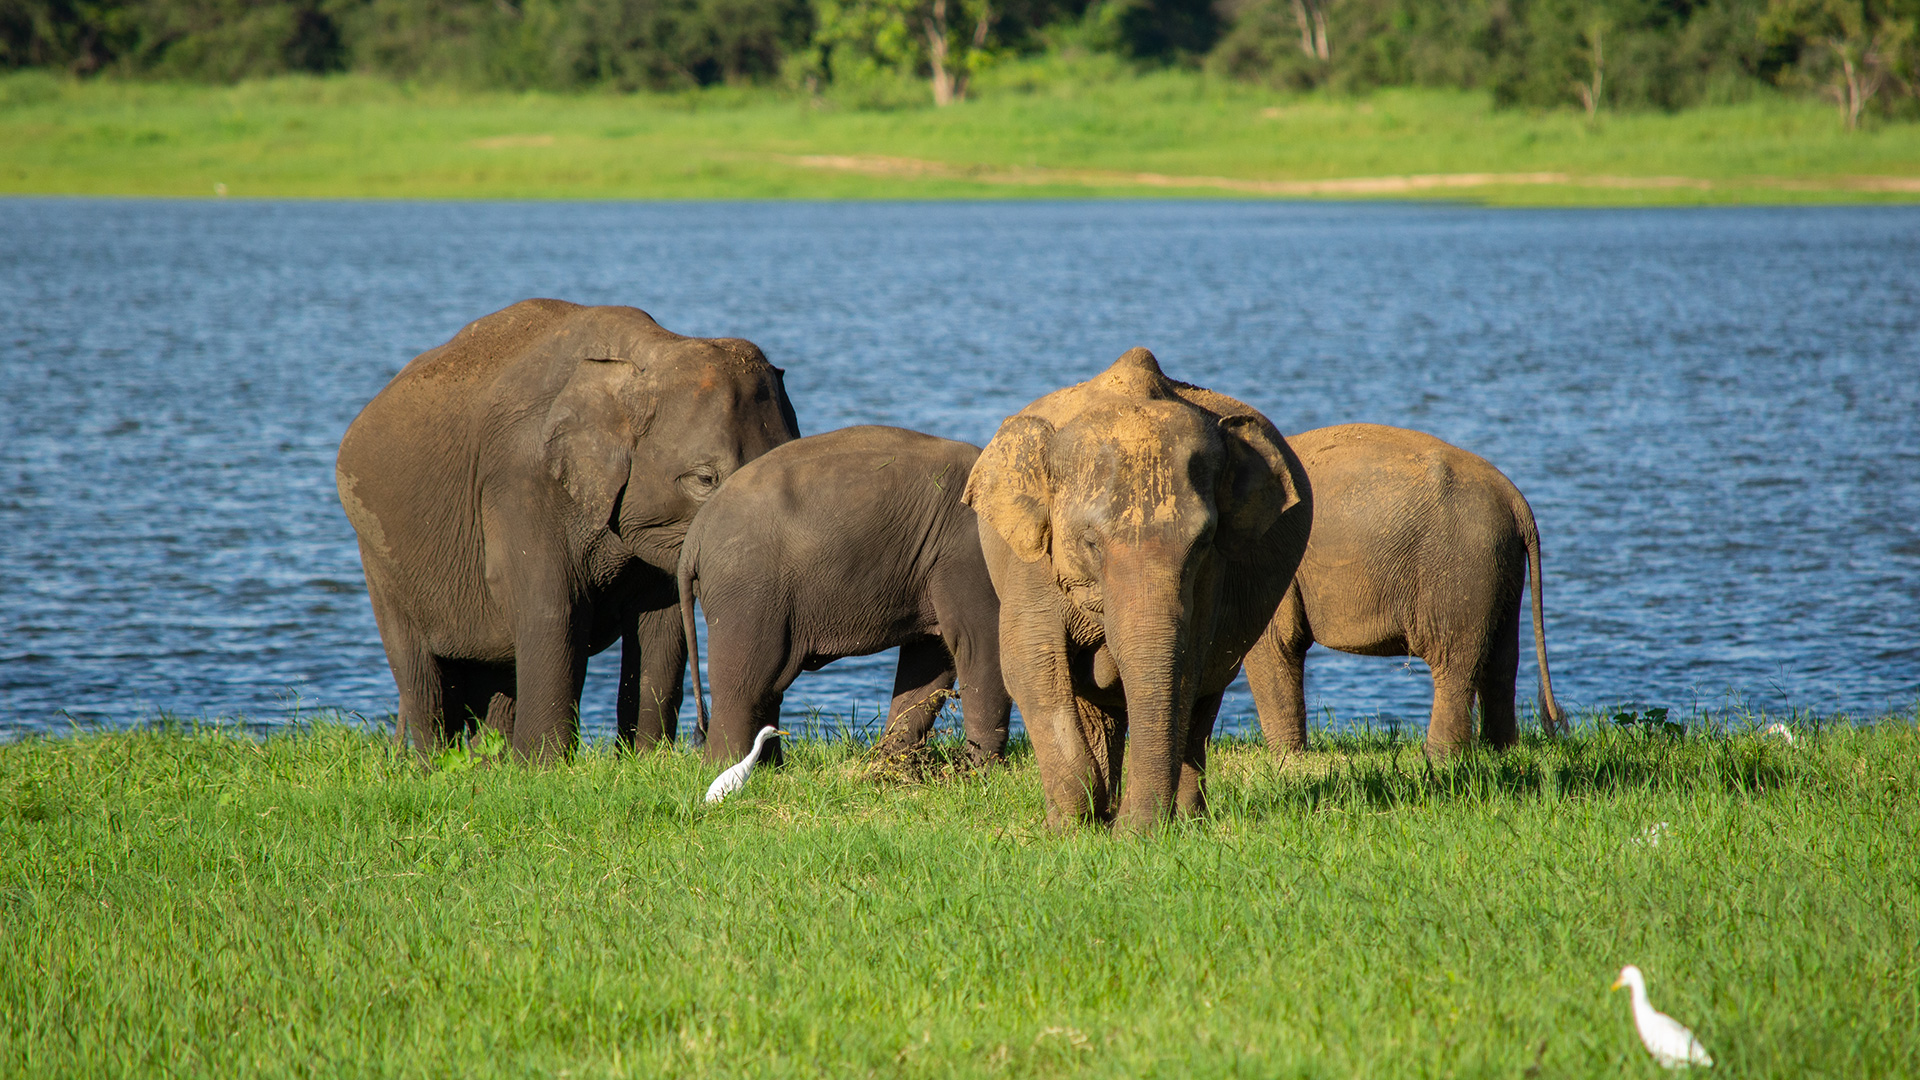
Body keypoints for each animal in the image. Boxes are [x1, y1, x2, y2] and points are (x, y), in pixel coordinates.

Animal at [334, 294, 798, 757]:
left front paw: (643, 759)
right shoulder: (521, 479)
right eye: (704, 480)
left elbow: (662, 625)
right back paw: (433, 764)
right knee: (422, 676)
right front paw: (542, 766)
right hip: (378, 556)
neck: (651, 352)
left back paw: (488, 763)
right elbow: (552, 609)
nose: (701, 733)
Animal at [675, 420, 1013, 764]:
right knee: (748, 685)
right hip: (749, 591)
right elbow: (979, 642)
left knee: (768, 686)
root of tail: (694, 539)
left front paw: (891, 763)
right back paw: (727, 769)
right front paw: (983, 770)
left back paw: (770, 768)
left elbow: (931, 657)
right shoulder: (969, 554)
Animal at [967, 349, 1313, 826]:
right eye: (1090, 542)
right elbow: (1031, 664)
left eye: (1202, 542)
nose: (1132, 830)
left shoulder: (1212, 574)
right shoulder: (1031, 561)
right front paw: (1073, 825)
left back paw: (1184, 820)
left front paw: (1127, 827)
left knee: (1206, 693)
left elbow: (1187, 666)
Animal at [1244, 422, 1574, 757]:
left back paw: (1441, 758)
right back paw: (1499, 751)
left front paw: (1286, 758)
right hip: (1502, 565)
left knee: (1454, 661)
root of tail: (1515, 500)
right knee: (1501, 659)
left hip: (1460, 566)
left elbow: (1273, 641)